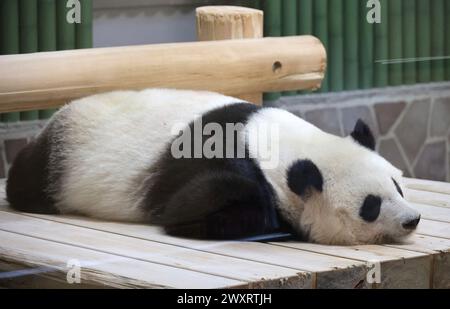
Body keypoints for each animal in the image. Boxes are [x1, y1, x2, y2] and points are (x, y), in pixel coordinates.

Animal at [4, 88, 422, 244]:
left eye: (397, 186)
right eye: (370, 206)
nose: (412, 219)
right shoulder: (212, 156)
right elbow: (190, 208)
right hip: (66, 155)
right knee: (29, 177)